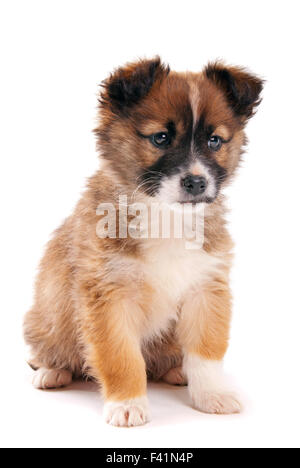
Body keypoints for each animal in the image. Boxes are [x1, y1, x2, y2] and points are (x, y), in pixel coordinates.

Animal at [23, 56, 262, 426]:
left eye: (215, 141)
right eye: (160, 138)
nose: (196, 182)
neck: (165, 213)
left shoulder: (206, 288)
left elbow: (206, 352)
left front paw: (211, 394)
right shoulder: (109, 297)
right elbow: (121, 356)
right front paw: (127, 403)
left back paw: (176, 371)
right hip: (48, 319)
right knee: (52, 349)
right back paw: (52, 371)